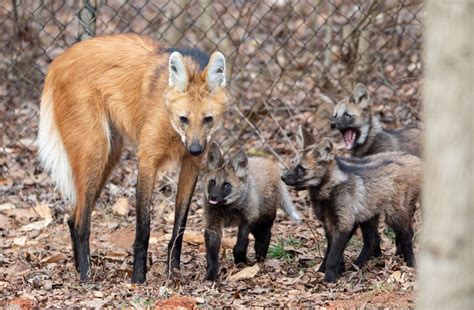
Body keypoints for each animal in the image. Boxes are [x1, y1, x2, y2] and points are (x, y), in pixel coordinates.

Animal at [37, 34, 230, 284]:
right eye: (184, 119)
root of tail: (59, 60)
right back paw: (86, 277)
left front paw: (174, 273)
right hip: (95, 151)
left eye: (207, 119)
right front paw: (138, 277)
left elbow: (180, 225)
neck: (173, 128)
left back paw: (79, 267)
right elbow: (144, 228)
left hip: (110, 155)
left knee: (72, 216)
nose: (196, 148)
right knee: (81, 222)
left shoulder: (191, 165)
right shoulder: (148, 159)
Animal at [203, 143, 300, 280]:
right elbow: (211, 254)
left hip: (261, 219)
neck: (228, 208)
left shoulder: (247, 220)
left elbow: (239, 246)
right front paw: (211, 275)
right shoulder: (213, 226)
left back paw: (260, 258)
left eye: (227, 185)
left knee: (265, 236)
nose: (212, 197)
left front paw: (241, 262)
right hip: (256, 223)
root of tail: (271, 164)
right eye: (212, 182)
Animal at [280, 134, 420, 282]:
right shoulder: (330, 223)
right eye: (293, 163)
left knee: (406, 235)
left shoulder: (344, 223)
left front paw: (329, 278)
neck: (328, 190)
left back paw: (411, 263)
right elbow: (331, 250)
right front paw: (330, 270)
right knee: (373, 240)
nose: (282, 177)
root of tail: (416, 160)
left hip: (393, 216)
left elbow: (333, 255)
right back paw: (356, 266)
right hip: (367, 215)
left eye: (301, 168)